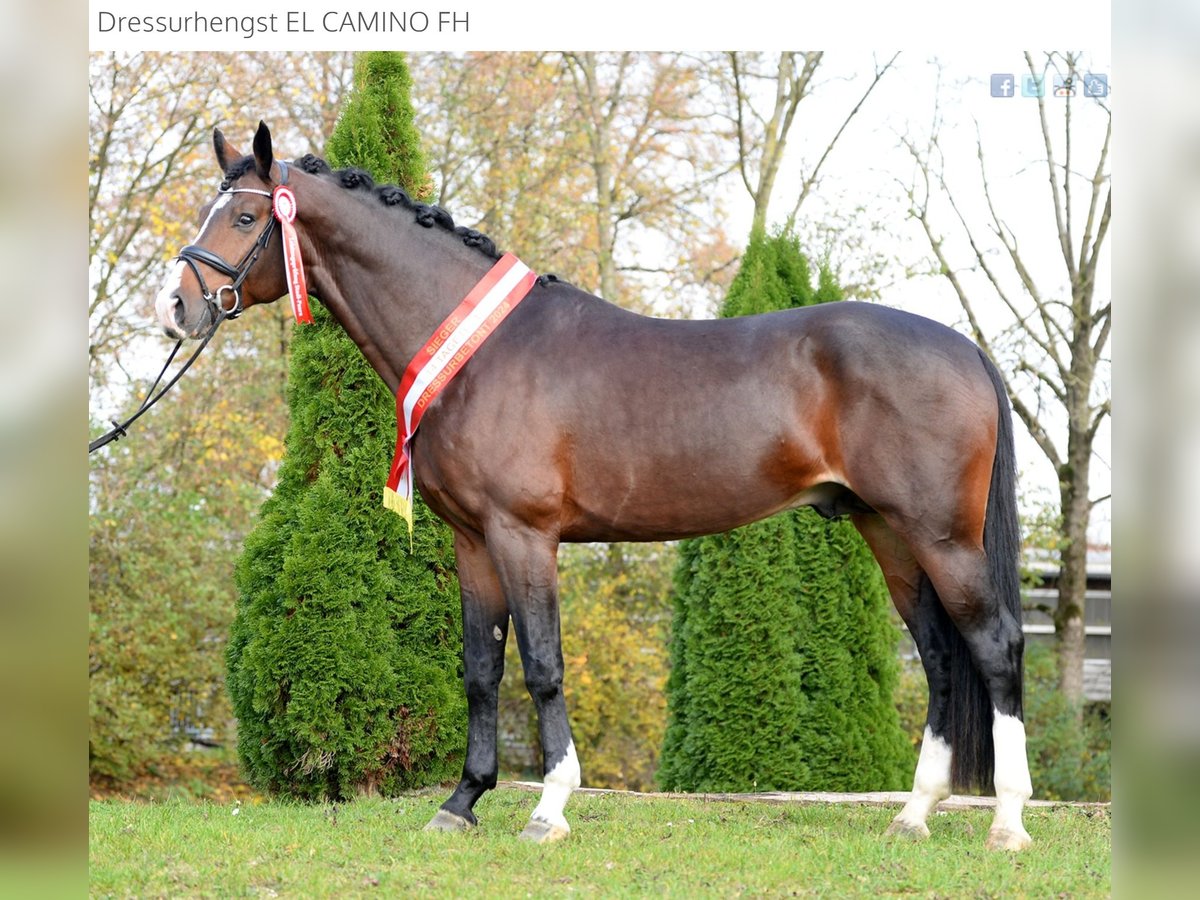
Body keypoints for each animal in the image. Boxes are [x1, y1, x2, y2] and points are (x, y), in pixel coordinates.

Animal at [152, 125, 1032, 854]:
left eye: (243, 218)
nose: (177, 308)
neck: (481, 352)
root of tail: (965, 348)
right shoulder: (473, 542)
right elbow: (481, 669)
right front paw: (461, 803)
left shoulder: (525, 534)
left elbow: (542, 665)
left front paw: (549, 809)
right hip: (888, 532)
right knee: (941, 658)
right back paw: (913, 815)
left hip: (941, 535)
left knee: (994, 647)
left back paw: (1008, 824)